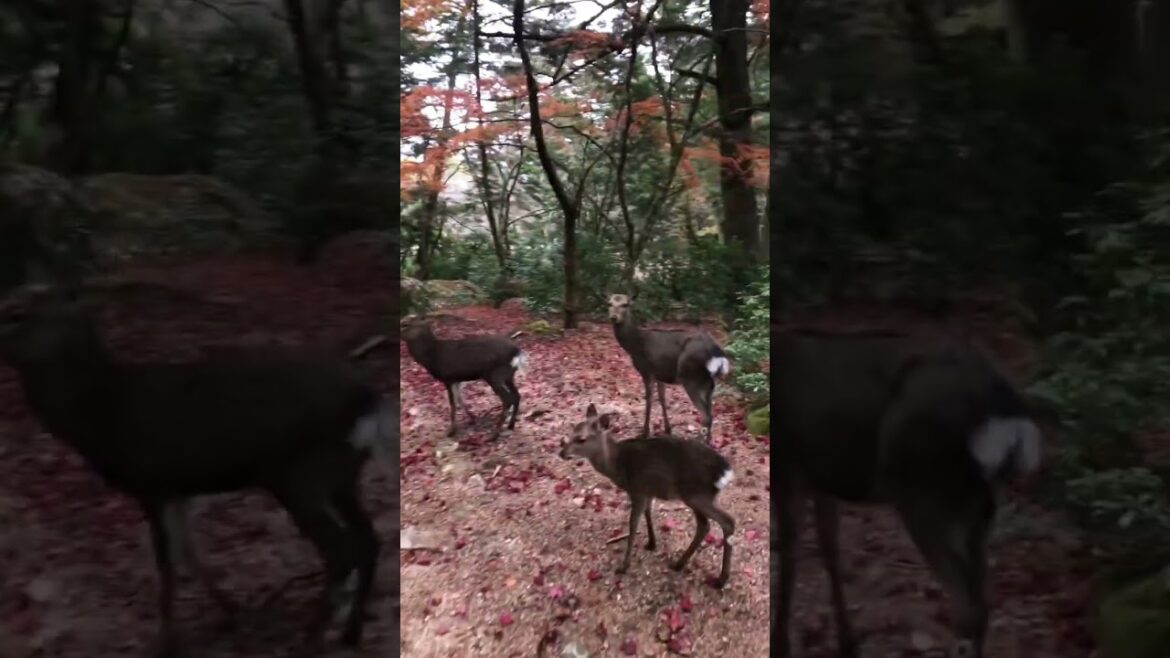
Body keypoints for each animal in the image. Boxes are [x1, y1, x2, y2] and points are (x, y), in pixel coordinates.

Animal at [0, 282, 397, 658]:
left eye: (16, 313)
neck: (98, 413)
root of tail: (369, 400)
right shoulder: (178, 489)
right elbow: (190, 555)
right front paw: (231, 613)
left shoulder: (151, 484)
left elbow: (168, 568)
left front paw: (166, 643)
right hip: (343, 474)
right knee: (368, 539)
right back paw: (350, 632)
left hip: (298, 473)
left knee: (341, 549)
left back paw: (311, 641)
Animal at [559, 403, 736, 588]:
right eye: (571, 432)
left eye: (581, 439)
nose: (562, 453)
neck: (618, 465)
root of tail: (725, 472)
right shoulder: (648, 490)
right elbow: (648, 513)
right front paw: (651, 543)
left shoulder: (636, 490)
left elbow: (633, 525)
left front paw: (623, 566)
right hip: (697, 496)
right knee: (704, 525)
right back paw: (679, 564)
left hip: (697, 495)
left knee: (727, 521)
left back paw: (720, 579)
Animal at [607, 294, 730, 443]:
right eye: (609, 303)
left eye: (625, 304)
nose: (613, 317)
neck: (635, 344)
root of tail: (717, 353)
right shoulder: (660, 374)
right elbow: (662, 399)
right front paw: (667, 429)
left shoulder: (647, 371)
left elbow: (649, 400)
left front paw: (645, 432)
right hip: (708, 382)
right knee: (710, 413)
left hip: (690, 376)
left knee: (706, 416)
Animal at [772, 326, 1045, 658]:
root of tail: (1007, 412)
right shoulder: (821, 479)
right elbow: (829, 551)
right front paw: (847, 643)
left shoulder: (787, 467)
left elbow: (788, 557)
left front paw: (781, 644)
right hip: (977, 502)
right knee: (981, 599)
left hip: (920, 489)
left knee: (969, 604)